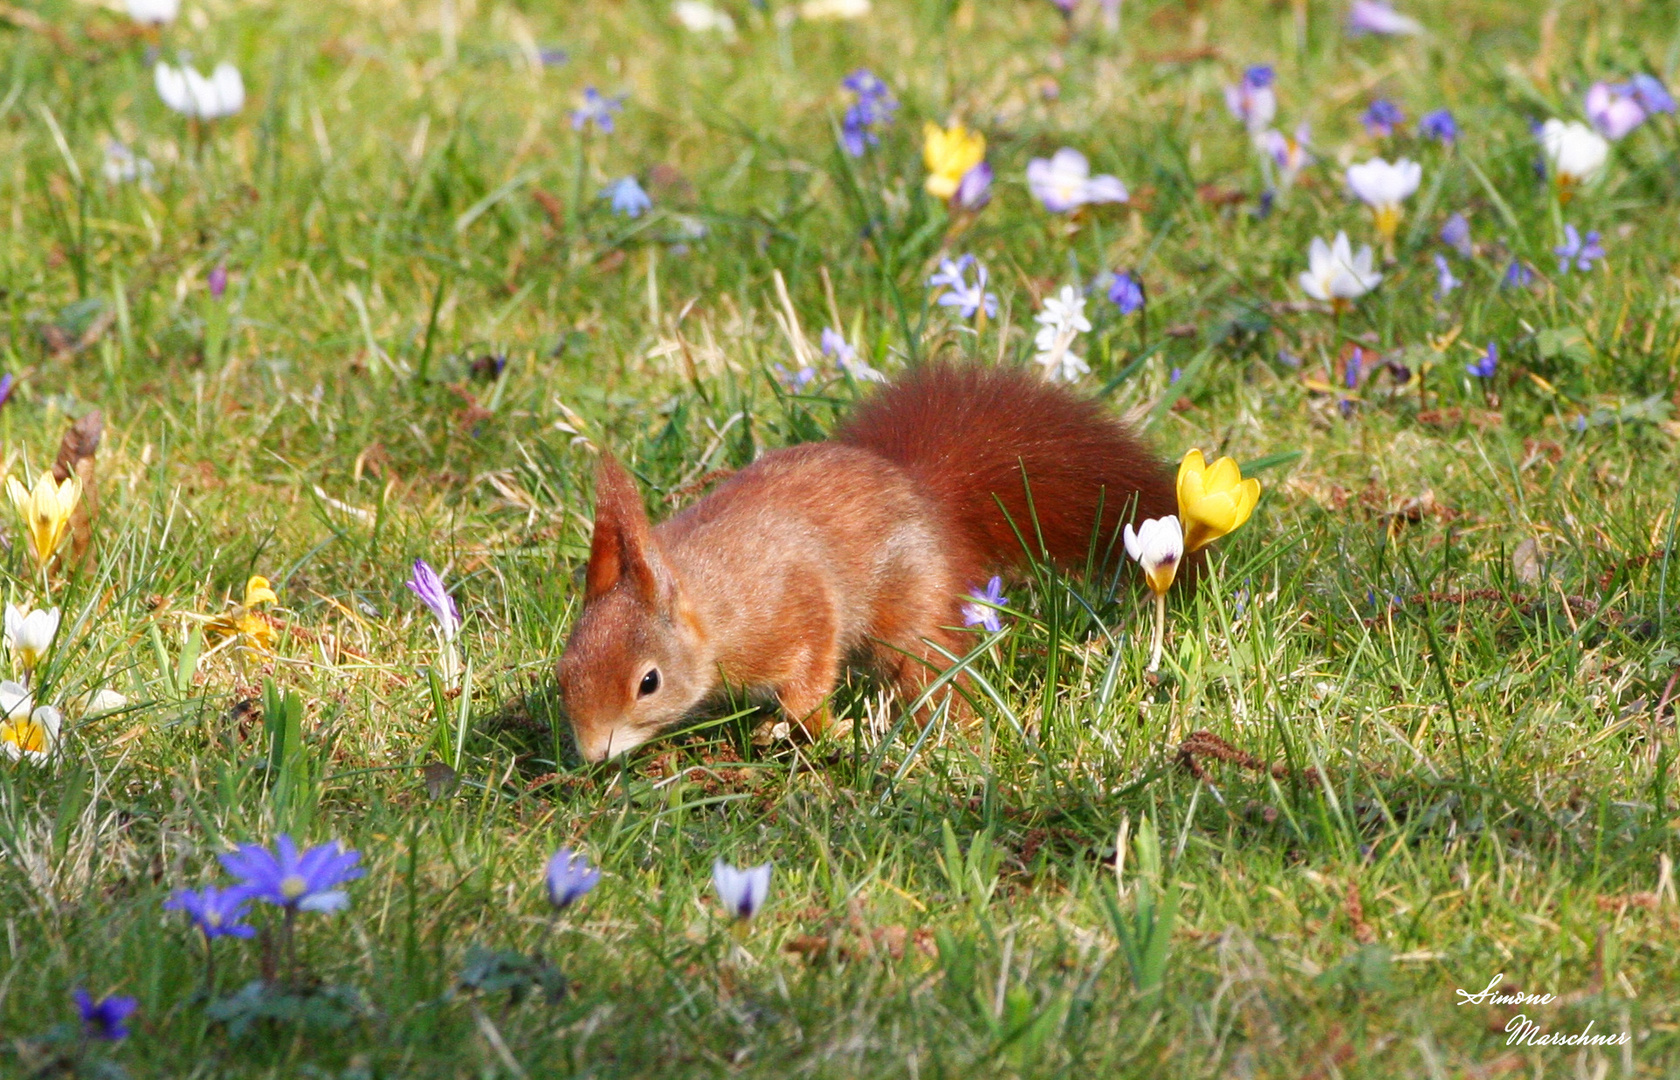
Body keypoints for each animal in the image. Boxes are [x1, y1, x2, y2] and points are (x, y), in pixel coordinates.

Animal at [557, 361, 1176, 759]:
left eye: (649, 683)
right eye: (563, 670)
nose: (591, 753)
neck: (712, 607)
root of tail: (923, 492)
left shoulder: (793, 609)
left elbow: (809, 679)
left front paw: (816, 731)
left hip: (911, 609)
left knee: (931, 668)